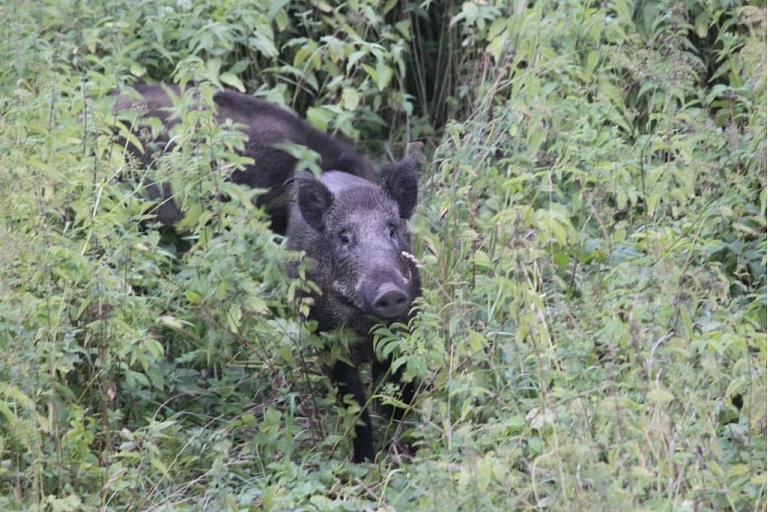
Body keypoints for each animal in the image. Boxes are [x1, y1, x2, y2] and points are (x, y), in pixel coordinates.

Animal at [288, 160, 421, 462]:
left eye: (392, 230)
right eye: (344, 237)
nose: (390, 292)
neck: (365, 324)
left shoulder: (405, 328)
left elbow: (400, 393)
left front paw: (409, 449)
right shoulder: (329, 343)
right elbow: (356, 408)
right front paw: (364, 462)